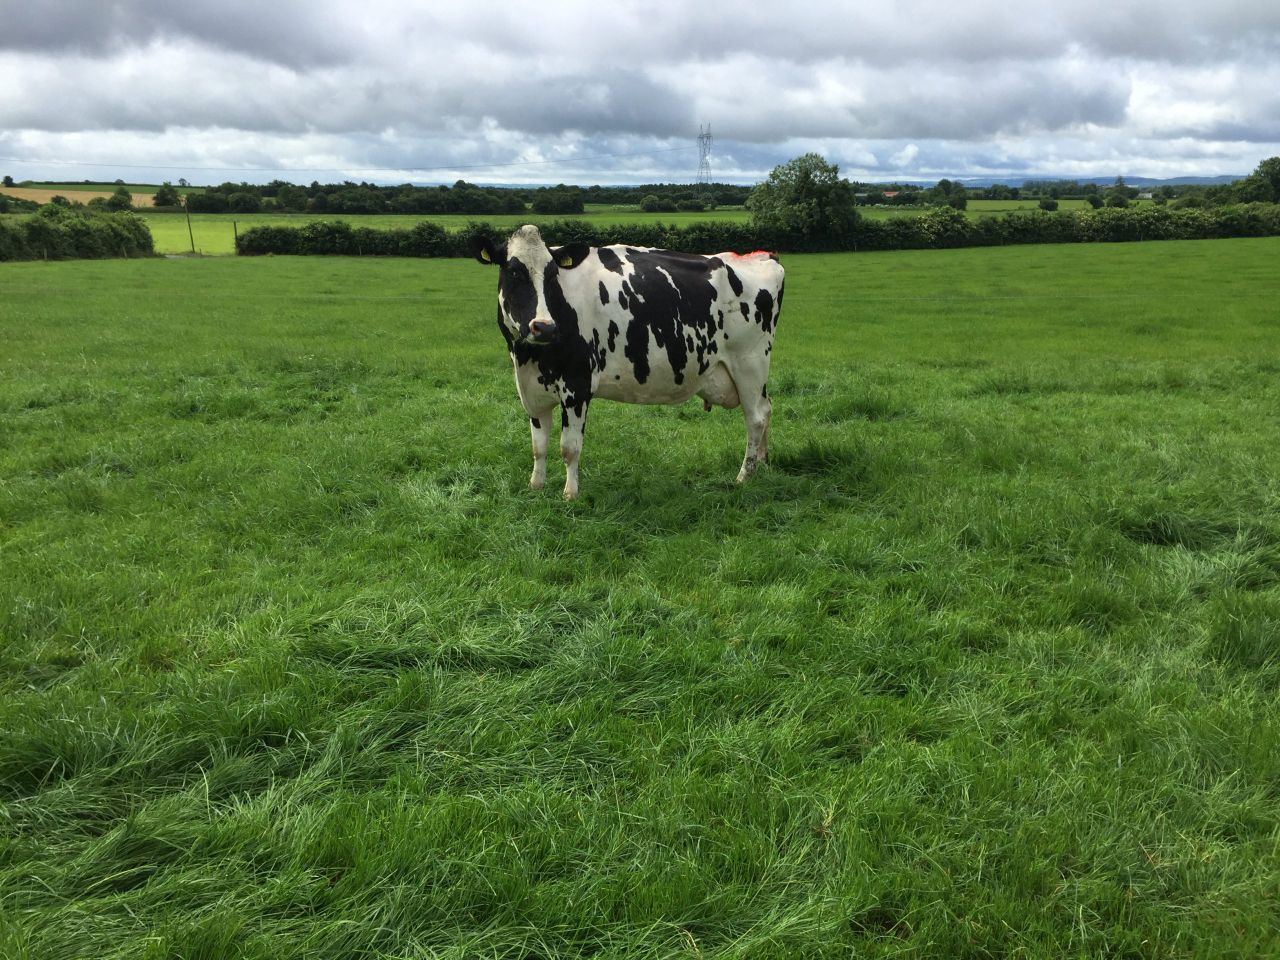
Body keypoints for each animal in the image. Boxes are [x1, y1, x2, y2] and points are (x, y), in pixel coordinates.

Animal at [472, 224, 784, 500]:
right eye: (513, 272)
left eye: (551, 275)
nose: (544, 327)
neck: (529, 357)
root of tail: (762, 256)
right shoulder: (530, 387)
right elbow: (539, 445)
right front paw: (536, 486)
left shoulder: (577, 383)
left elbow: (569, 447)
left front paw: (570, 493)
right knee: (766, 409)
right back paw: (763, 462)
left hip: (749, 364)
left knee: (755, 418)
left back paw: (745, 475)